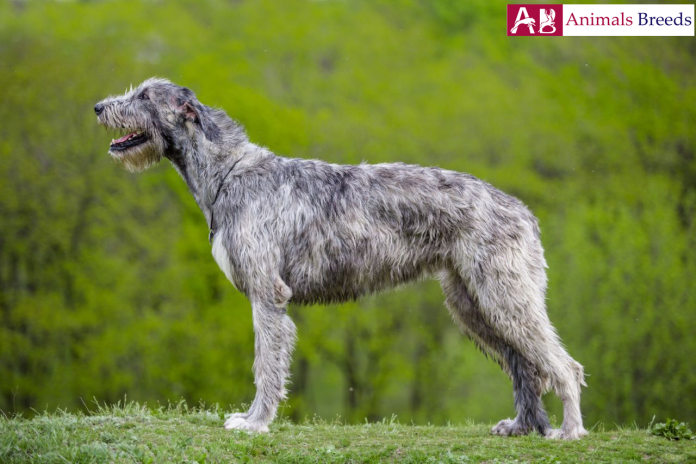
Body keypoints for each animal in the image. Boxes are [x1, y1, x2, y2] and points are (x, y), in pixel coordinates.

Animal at [95, 79, 588, 438]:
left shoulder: (268, 294)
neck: (229, 172)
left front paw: (254, 422)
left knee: (564, 366)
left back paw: (568, 432)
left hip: (504, 295)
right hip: (473, 304)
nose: (99, 107)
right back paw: (523, 427)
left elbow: (266, 364)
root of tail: (523, 211)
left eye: (144, 95)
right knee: (525, 366)